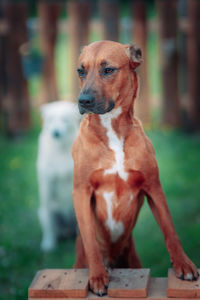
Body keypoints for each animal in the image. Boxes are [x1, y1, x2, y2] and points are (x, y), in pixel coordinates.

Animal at [37, 100, 79, 251]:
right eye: (51, 119)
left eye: (64, 120)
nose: (55, 133)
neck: (61, 150)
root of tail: (67, 229)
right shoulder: (47, 184)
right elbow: (49, 224)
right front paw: (48, 244)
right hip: (43, 213)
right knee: (52, 227)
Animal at [71, 41, 197, 296]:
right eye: (80, 70)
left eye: (108, 70)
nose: (83, 101)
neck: (112, 129)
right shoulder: (80, 192)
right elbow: (89, 238)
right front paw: (97, 276)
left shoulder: (154, 187)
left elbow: (170, 229)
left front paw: (183, 264)